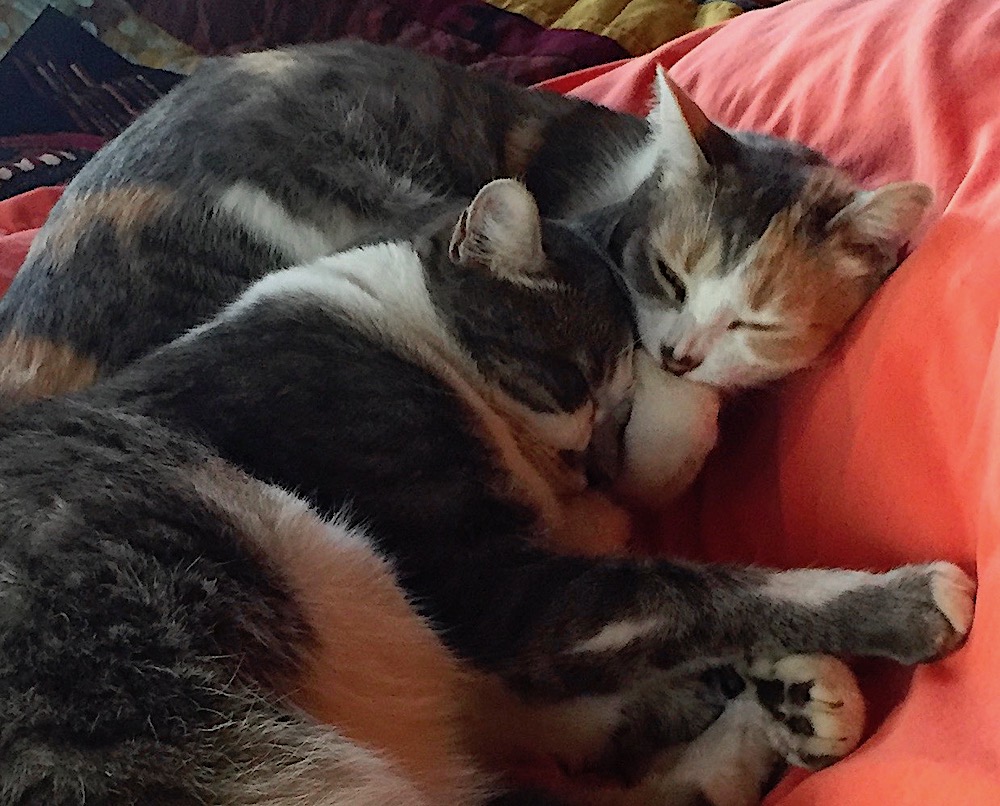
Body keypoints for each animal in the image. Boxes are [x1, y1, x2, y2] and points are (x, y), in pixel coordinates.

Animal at [0, 179, 973, 806]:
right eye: (575, 380)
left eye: (621, 401)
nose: (598, 460)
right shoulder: (493, 588)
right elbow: (693, 592)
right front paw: (904, 603)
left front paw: (775, 684)